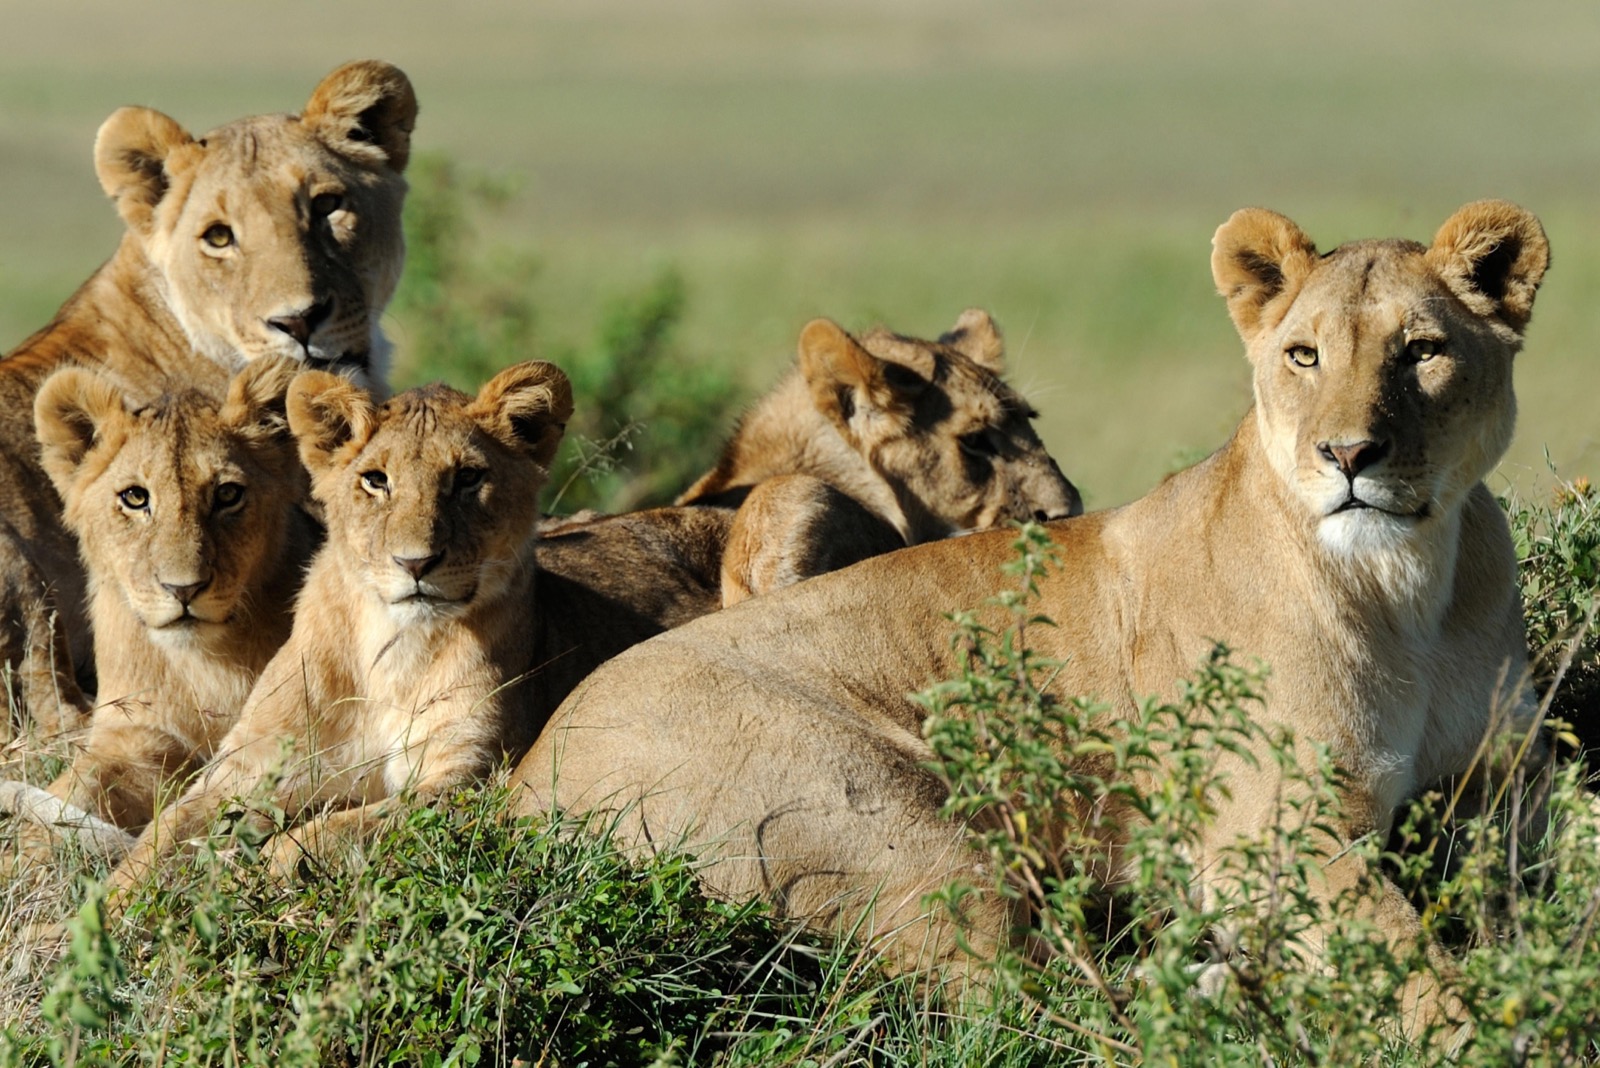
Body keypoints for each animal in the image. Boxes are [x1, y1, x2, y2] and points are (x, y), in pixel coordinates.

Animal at [0, 356, 317, 850]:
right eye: (135, 497)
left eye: (227, 494)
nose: (183, 589)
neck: (202, 666)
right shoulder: (135, 738)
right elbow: (69, 796)